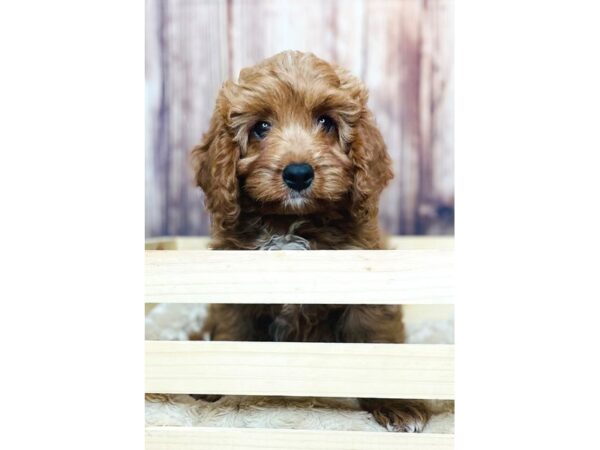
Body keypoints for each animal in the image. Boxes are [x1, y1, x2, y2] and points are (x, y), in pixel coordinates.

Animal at [190, 50, 428, 432]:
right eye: (261, 127)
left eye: (326, 122)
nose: (298, 173)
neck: (289, 224)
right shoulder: (235, 295)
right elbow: (231, 333)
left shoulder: (367, 293)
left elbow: (373, 337)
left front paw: (396, 403)